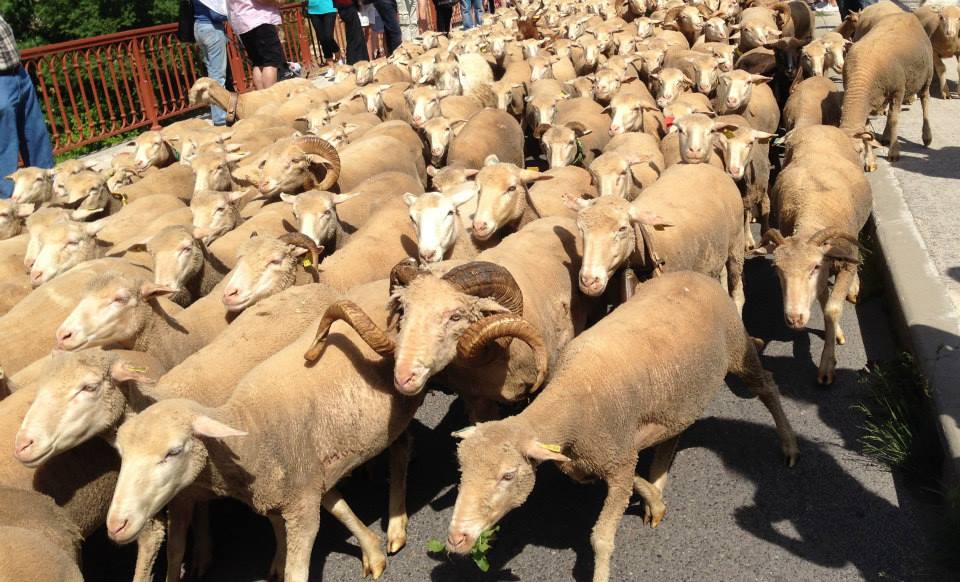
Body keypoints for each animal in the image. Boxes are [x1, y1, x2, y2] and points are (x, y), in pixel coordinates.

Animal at [106, 278, 420, 582]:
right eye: (121, 454)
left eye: (173, 451)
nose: (115, 525)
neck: (252, 428)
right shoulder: (302, 483)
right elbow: (337, 507)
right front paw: (371, 551)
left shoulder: (302, 507)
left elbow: (297, 570)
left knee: (402, 451)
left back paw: (396, 524)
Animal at [446, 272, 800, 582]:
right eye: (461, 470)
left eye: (508, 475)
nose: (456, 538)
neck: (569, 402)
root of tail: (696, 275)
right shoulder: (604, 458)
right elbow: (632, 477)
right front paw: (655, 501)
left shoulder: (617, 460)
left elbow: (601, 537)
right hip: (677, 395)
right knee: (675, 431)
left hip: (738, 349)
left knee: (767, 386)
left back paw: (790, 446)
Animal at [752, 153, 872, 386]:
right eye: (777, 269)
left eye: (815, 266)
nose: (794, 318)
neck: (812, 215)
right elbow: (825, 305)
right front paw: (835, 333)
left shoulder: (842, 266)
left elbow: (832, 309)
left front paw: (826, 366)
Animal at [840, 13, 928, 162]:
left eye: (859, 150)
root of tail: (907, 14)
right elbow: (867, 128)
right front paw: (870, 160)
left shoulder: (898, 91)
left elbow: (894, 119)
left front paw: (894, 152)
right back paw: (886, 136)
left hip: (926, 78)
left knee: (925, 100)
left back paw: (927, 136)